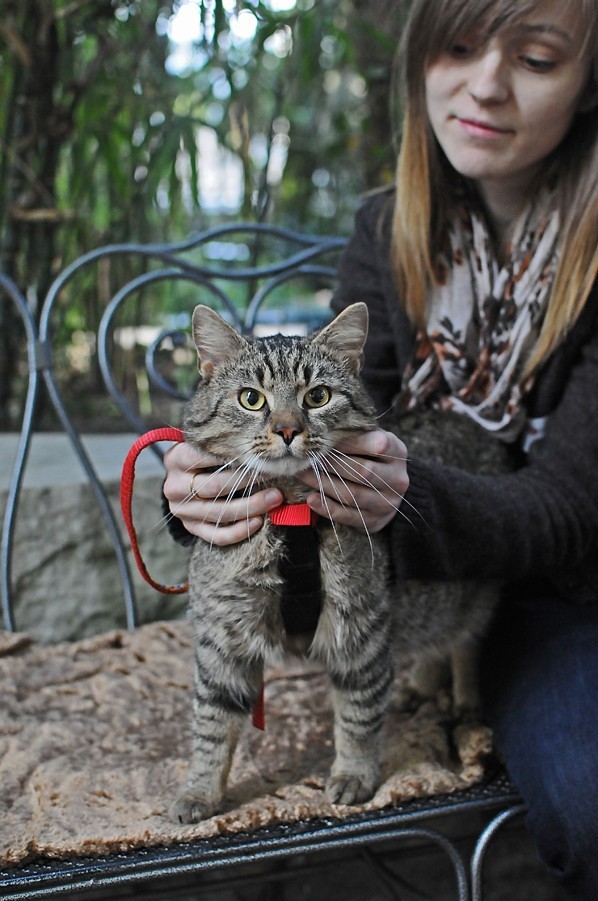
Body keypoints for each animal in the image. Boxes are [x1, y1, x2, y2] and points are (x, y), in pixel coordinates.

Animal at [171, 302, 512, 824]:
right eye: (251, 399)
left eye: (317, 396)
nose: (288, 429)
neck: (290, 512)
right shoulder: (221, 638)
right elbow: (211, 723)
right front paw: (200, 790)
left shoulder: (361, 630)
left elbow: (358, 714)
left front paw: (354, 773)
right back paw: (420, 685)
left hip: (475, 593)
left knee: (464, 644)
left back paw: (466, 699)